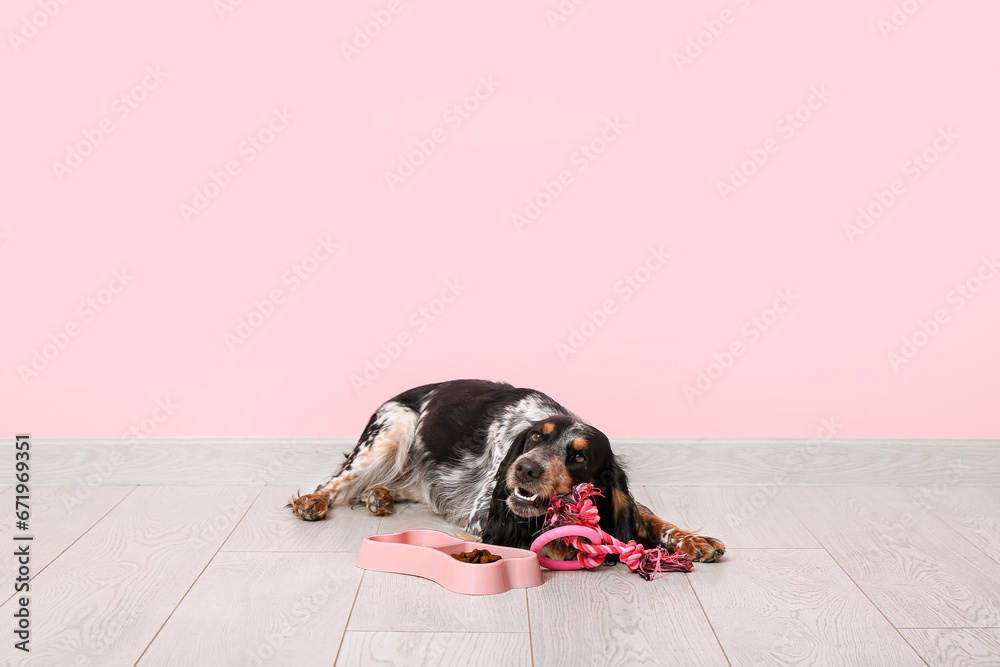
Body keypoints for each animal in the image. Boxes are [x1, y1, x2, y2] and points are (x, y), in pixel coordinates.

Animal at [290, 380, 728, 564]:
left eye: (579, 457)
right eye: (535, 437)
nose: (526, 468)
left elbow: (647, 517)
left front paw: (694, 540)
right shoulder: (483, 512)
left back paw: (379, 496)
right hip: (392, 428)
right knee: (338, 481)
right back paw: (313, 501)